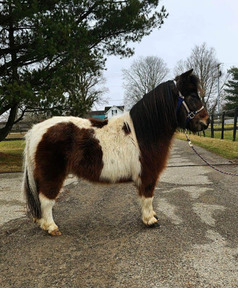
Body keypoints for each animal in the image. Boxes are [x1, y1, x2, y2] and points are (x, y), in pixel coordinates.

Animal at [21, 68, 208, 235]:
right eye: (192, 96)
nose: (205, 122)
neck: (143, 132)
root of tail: (36, 130)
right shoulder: (147, 174)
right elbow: (148, 197)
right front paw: (150, 220)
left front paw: (152, 216)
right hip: (52, 174)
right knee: (46, 200)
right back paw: (51, 227)